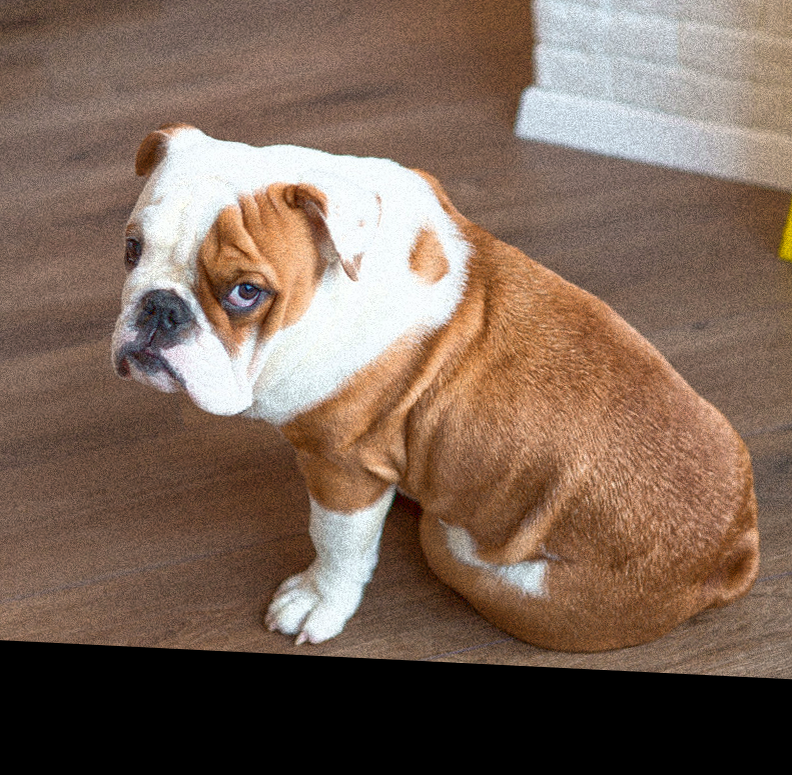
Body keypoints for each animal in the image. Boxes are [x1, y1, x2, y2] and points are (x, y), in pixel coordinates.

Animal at [112, 124, 759, 652]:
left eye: (246, 292)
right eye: (131, 250)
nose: (160, 309)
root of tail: (732, 550)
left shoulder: (341, 468)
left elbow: (338, 545)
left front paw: (320, 600)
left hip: (460, 551)